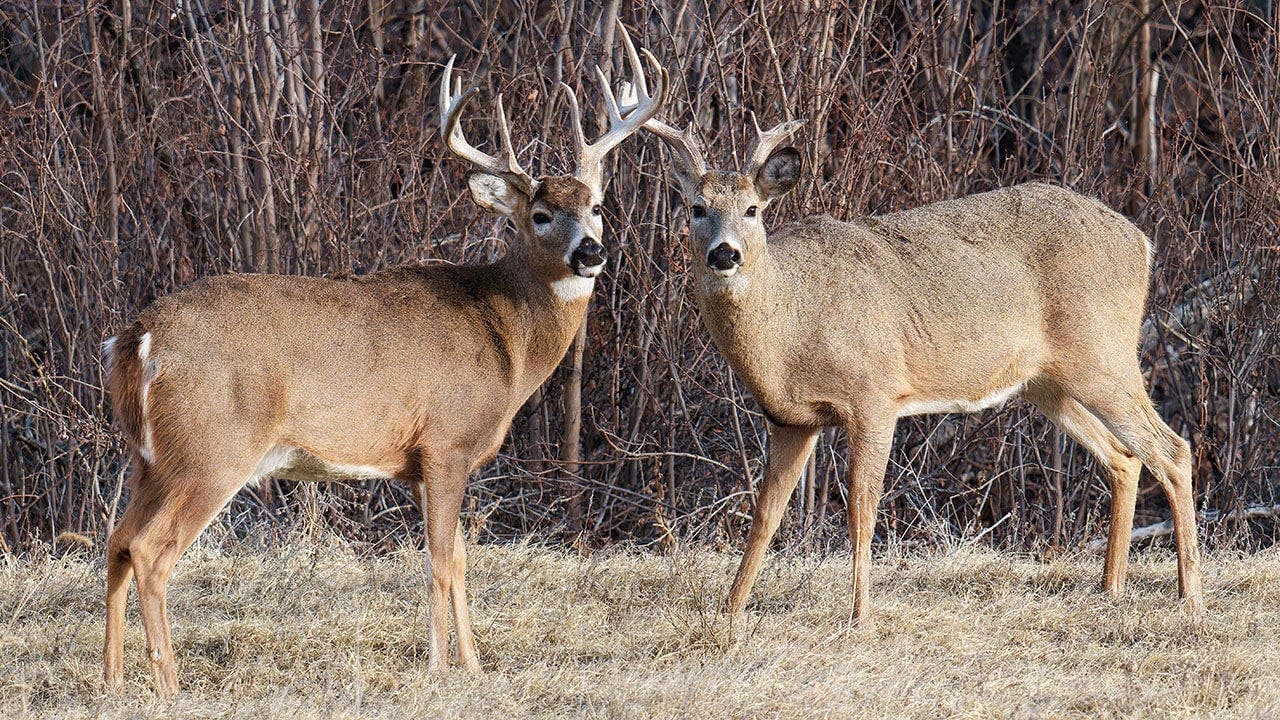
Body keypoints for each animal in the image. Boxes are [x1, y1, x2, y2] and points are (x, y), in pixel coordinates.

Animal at [100, 24, 667, 697]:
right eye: (540, 214)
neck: (507, 339)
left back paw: (110, 680)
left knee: (116, 541)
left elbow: (461, 560)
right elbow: (441, 563)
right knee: (150, 551)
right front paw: (441, 667)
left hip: (148, 457)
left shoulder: (420, 463)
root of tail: (139, 337)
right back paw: (169, 683)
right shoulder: (447, 443)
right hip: (211, 447)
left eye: (597, 205)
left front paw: (473, 665)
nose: (591, 252)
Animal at [635, 104, 1204, 624]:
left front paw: (860, 615)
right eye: (695, 208)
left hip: (1103, 353)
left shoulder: (875, 395)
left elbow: (861, 508)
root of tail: (1142, 242)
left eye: (752, 209)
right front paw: (730, 611)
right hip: (1046, 382)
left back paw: (1188, 596)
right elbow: (765, 514)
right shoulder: (790, 420)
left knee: (1173, 449)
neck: (791, 329)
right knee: (1124, 458)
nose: (724, 254)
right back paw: (1109, 588)